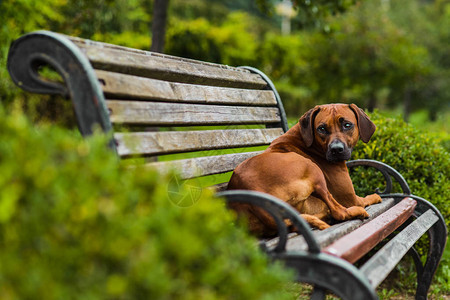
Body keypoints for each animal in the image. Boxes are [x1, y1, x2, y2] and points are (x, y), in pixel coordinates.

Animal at [229, 104, 384, 236]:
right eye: (321, 128)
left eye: (347, 125)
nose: (336, 149)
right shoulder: (351, 198)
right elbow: (365, 198)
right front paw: (375, 196)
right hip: (312, 167)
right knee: (339, 212)